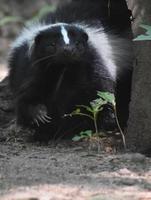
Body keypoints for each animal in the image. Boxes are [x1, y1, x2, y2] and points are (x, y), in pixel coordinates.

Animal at [8, 0, 133, 141]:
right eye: (51, 45)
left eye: (78, 44)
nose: (68, 50)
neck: (61, 68)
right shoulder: (30, 68)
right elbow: (26, 95)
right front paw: (40, 116)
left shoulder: (92, 65)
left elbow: (99, 93)